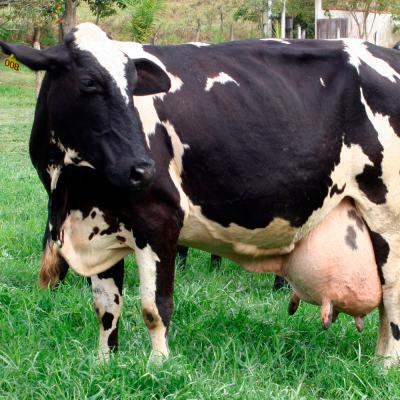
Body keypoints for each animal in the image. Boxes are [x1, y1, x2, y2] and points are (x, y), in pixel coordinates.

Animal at [3, 21, 400, 366]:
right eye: (88, 82)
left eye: (133, 86)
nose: (141, 168)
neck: (71, 189)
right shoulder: (98, 226)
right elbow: (106, 307)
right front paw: (104, 364)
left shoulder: (159, 219)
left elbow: (155, 307)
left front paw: (159, 365)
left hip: (389, 219)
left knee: (393, 297)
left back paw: (384, 366)